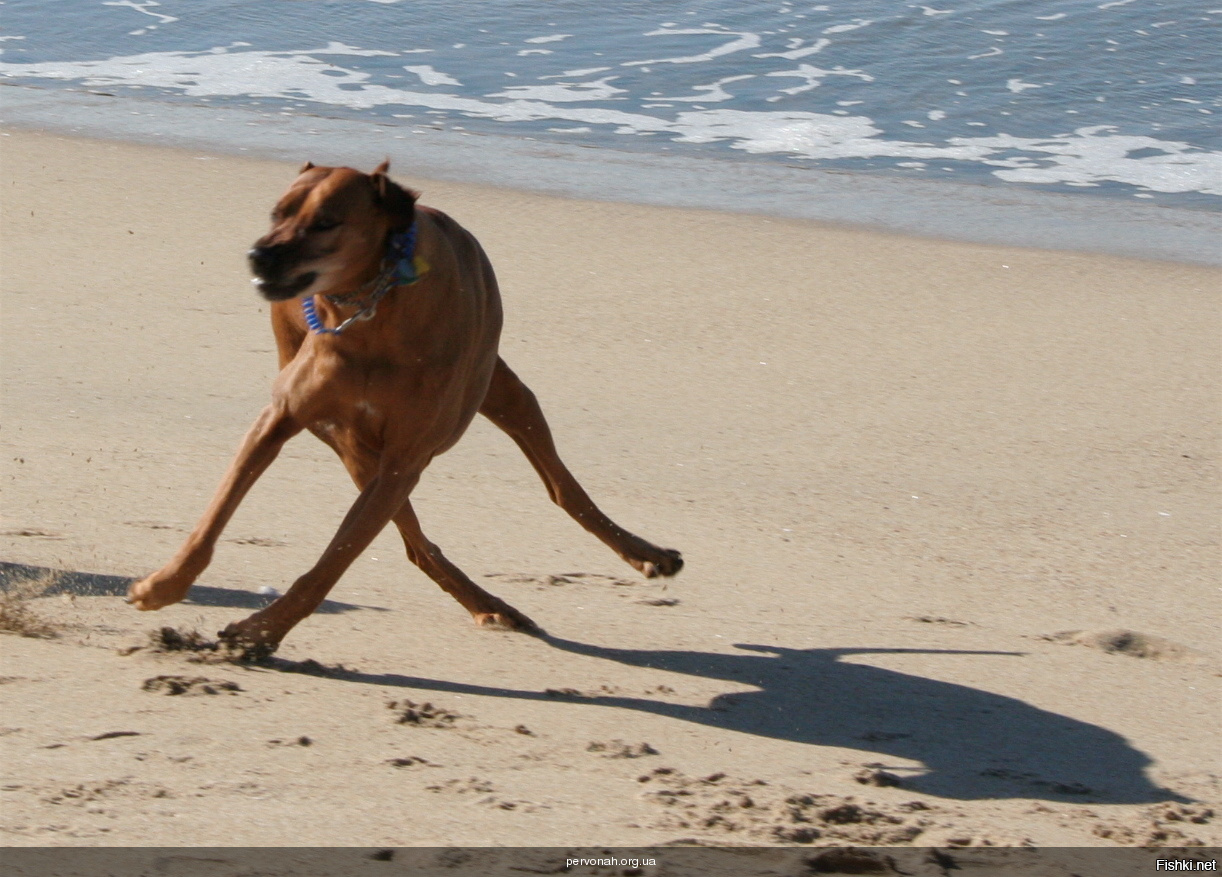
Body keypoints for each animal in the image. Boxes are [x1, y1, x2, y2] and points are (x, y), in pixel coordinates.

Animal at [127, 160, 684, 654]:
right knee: (416, 541)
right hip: (350, 441)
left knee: (560, 486)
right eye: (276, 213)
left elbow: (332, 563)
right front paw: (163, 585)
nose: (257, 255)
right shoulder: (282, 418)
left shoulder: (403, 459)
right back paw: (489, 603)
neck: (372, 312)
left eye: (326, 222)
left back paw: (643, 556)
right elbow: (214, 515)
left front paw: (260, 632)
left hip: (502, 393)